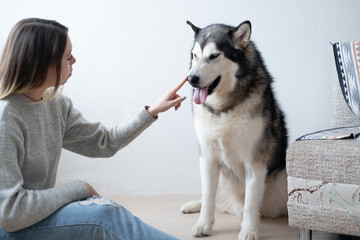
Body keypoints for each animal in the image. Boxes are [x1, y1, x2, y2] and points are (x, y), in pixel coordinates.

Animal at [181, 20, 288, 240]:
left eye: (214, 56)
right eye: (195, 55)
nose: (191, 78)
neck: (223, 108)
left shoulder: (255, 163)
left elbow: (250, 204)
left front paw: (249, 230)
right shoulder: (208, 158)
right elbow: (208, 196)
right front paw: (203, 224)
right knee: (213, 199)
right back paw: (193, 205)